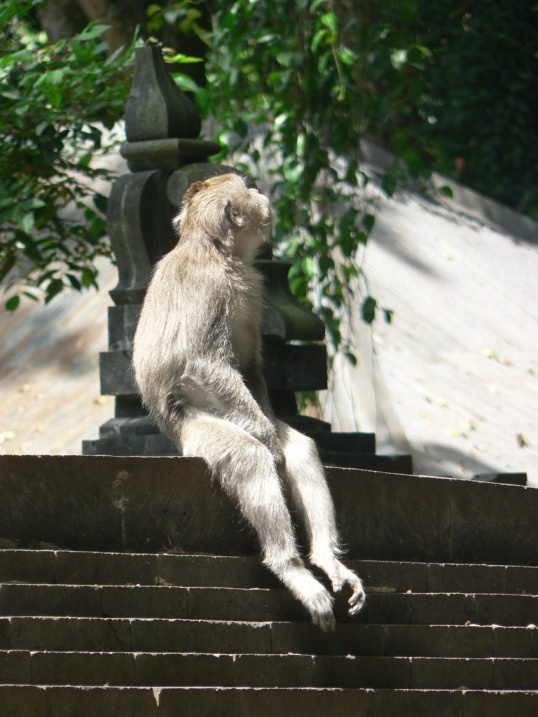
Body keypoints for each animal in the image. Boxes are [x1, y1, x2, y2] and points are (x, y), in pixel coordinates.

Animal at [132, 173, 365, 630]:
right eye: (248, 188)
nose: (261, 194)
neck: (219, 253)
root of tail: (169, 429)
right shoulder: (209, 287)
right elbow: (205, 363)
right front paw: (266, 439)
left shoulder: (252, 292)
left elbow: (250, 367)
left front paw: (272, 428)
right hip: (193, 428)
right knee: (248, 457)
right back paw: (291, 568)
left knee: (300, 449)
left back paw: (326, 559)